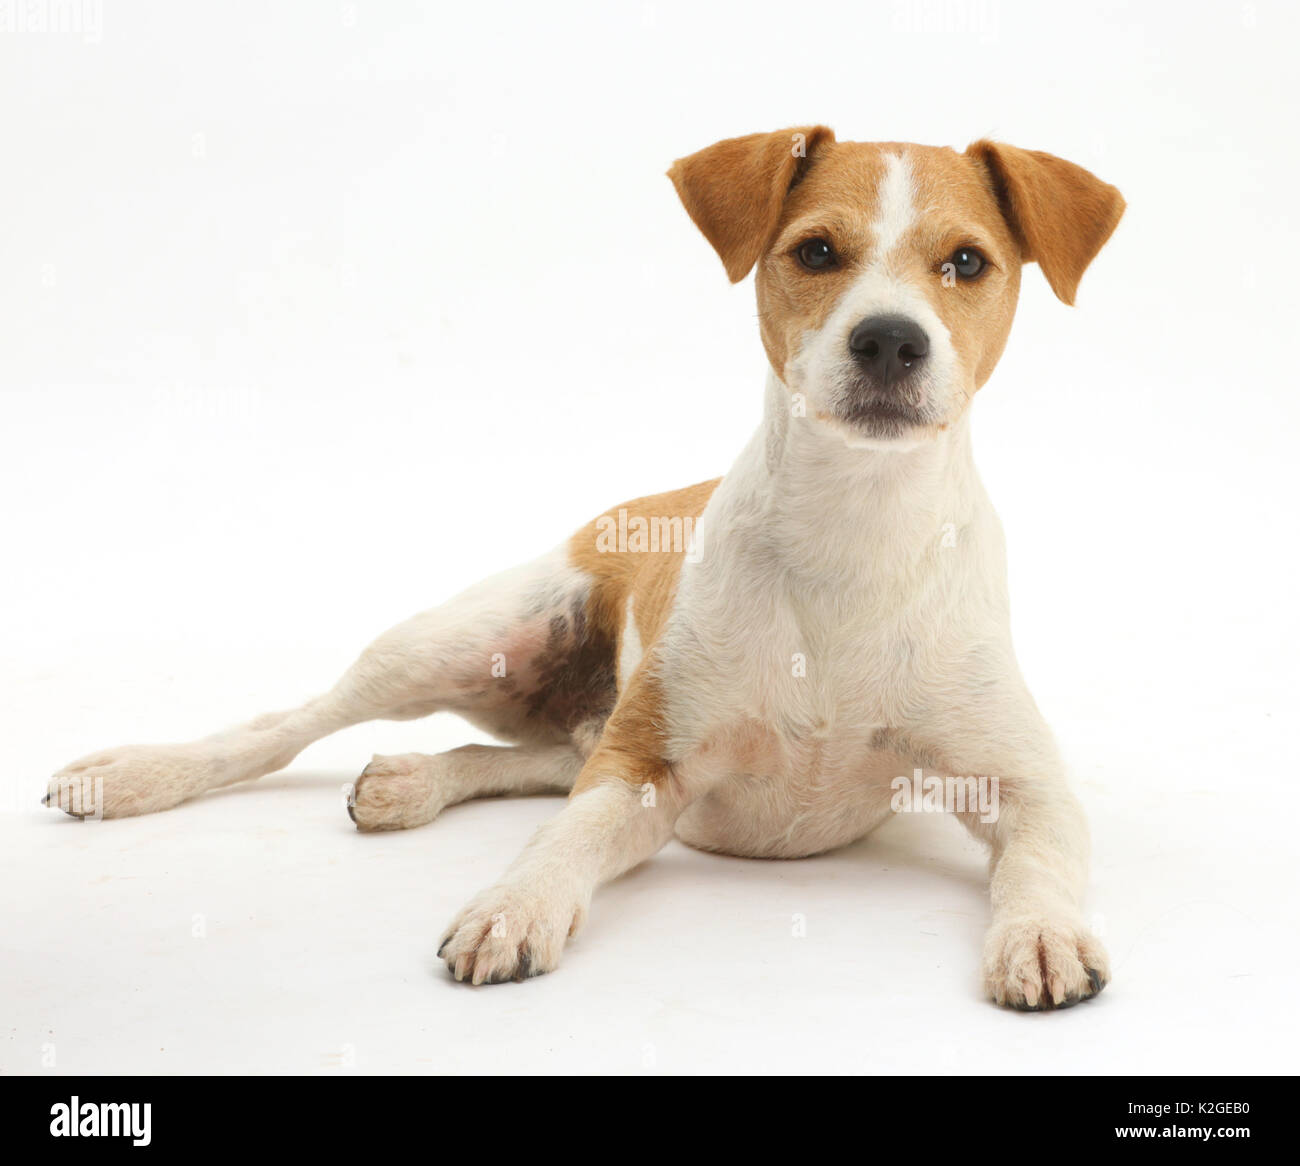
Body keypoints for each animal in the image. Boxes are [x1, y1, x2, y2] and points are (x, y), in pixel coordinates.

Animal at [50, 122, 1123, 1003]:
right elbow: (561, 835)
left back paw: (409, 782)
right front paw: (515, 905)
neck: (854, 532)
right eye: (817, 250)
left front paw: (1040, 935)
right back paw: (134, 774)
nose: (890, 339)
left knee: (536, 755)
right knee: (285, 727)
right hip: (454, 642)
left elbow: (1041, 861)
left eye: (967, 262)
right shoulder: (639, 766)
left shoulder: (1026, 784)